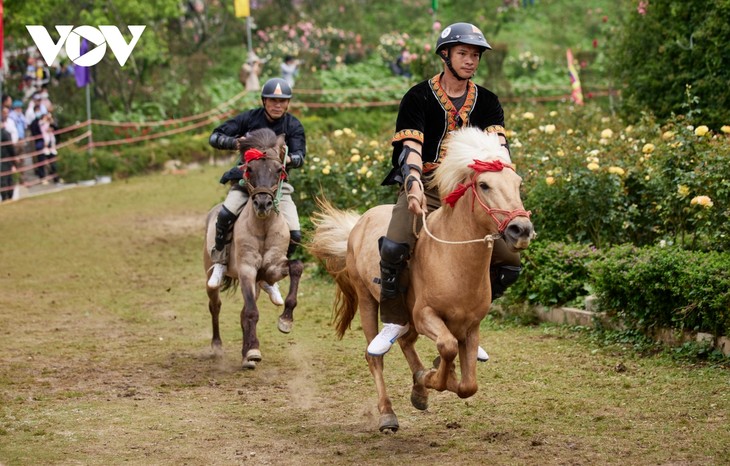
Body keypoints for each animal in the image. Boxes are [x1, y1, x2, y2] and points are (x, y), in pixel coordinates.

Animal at [202, 126, 302, 368]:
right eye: (249, 169)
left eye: (279, 169)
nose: (263, 203)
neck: (263, 227)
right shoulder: (247, 270)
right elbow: (251, 313)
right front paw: (253, 352)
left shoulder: (272, 267)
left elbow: (297, 267)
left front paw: (285, 321)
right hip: (211, 273)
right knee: (215, 305)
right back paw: (217, 346)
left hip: (258, 282)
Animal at [308, 127, 536, 434]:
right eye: (485, 185)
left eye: (517, 184)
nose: (521, 229)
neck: (453, 259)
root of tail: (359, 223)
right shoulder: (426, 315)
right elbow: (447, 348)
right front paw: (432, 377)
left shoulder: (471, 327)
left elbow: (468, 385)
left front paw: (431, 379)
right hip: (368, 299)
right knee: (374, 356)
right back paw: (388, 413)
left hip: (409, 319)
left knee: (406, 341)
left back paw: (418, 389)